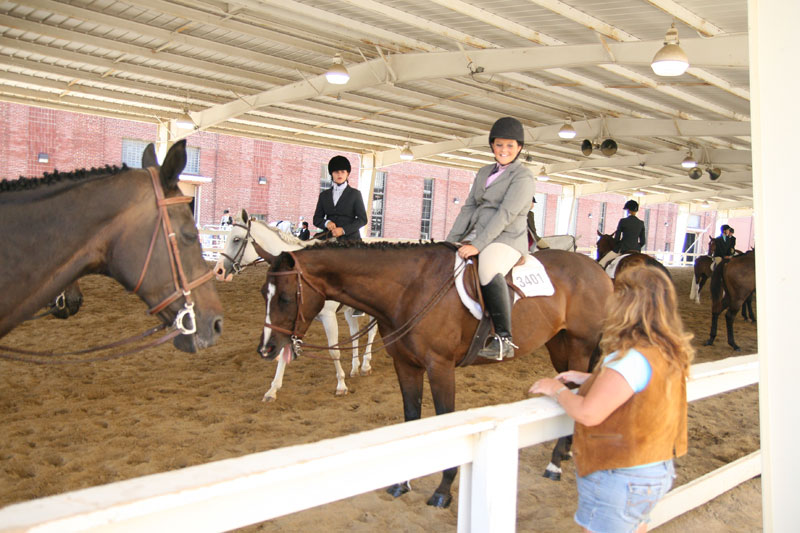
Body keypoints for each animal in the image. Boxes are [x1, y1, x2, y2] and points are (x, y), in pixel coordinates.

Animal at [212, 210, 376, 402]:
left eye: (236, 239)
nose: (218, 271)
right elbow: (284, 350)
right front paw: (272, 390)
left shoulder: (328, 316)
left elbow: (334, 351)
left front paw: (341, 385)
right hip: (349, 310)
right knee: (355, 332)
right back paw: (355, 368)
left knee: (371, 332)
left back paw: (365, 366)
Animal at [256, 241, 612, 508]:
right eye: (263, 294)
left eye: (285, 297)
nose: (267, 349)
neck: (409, 290)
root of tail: (596, 269)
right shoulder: (406, 365)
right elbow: (412, 419)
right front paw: (403, 482)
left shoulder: (440, 367)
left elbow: (445, 418)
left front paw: (443, 490)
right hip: (559, 346)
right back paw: (565, 453)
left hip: (579, 345)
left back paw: (555, 463)